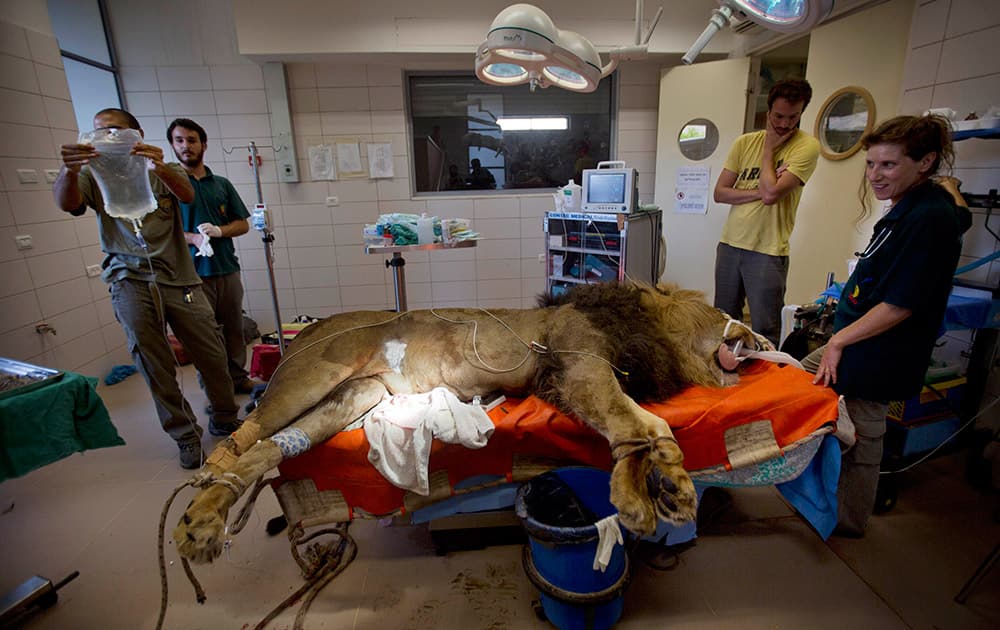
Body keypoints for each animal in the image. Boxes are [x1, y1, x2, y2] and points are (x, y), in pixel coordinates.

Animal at [176, 284, 760, 564]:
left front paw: (675, 489)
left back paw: (202, 525)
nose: (757, 337)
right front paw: (634, 501)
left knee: (265, 452)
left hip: (357, 396)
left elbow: (656, 430)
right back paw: (197, 510)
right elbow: (631, 428)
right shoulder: (580, 367)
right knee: (242, 438)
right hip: (309, 379)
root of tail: (304, 329)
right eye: (722, 311)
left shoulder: (583, 378)